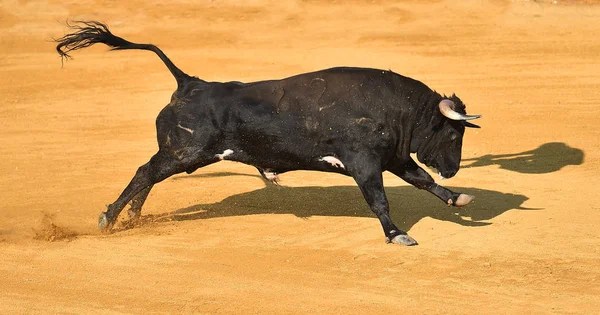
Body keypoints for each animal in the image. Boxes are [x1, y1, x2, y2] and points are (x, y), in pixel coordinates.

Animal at [54, 21, 480, 246]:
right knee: (145, 173)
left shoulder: (394, 157)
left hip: (181, 154)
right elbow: (379, 200)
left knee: (149, 176)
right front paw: (397, 235)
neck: (396, 108)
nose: (454, 169)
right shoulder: (365, 163)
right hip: (185, 152)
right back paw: (109, 219)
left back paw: (132, 218)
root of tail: (189, 82)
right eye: (453, 135)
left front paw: (457, 197)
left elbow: (422, 180)